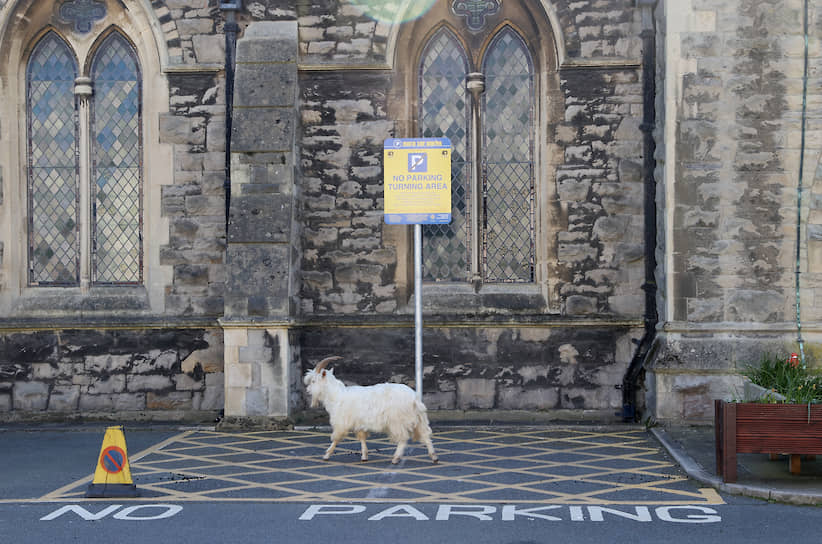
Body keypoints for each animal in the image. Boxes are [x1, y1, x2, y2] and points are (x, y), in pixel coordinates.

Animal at [304, 354, 444, 466]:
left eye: (313, 380)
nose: (308, 391)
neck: (336, 394)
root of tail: (414, 398)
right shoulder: (359, 423)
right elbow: (362, 438)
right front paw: (364, 456)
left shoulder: (342, 423)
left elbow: (336, 438)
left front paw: (326, 455)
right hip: (419, 420)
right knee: (425, 435)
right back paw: (434, 457)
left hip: (397, 421)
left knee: (403, 439)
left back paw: (396, 458)